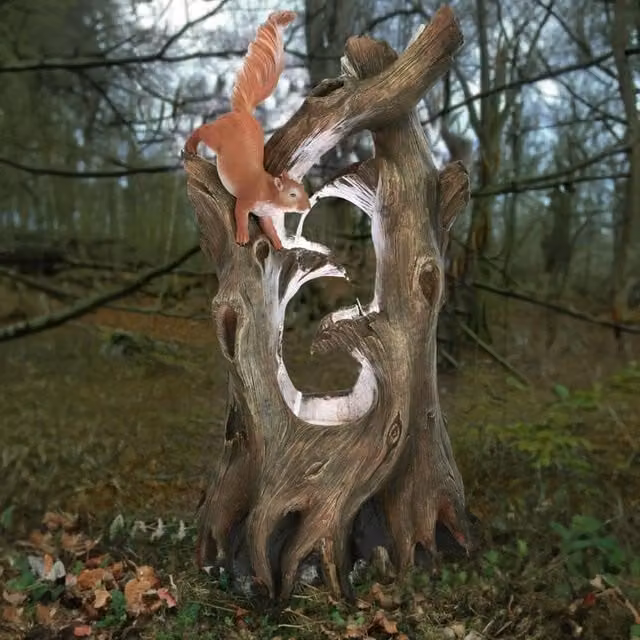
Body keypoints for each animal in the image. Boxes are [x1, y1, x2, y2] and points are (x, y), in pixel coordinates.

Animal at [184, 10, 310, 250]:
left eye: (304, 191)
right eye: (292, 194)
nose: (307, 206)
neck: (268, 190)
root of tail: (243, 113)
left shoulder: (265, 214)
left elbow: (269, 228)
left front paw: (279, 244)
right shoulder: (246, 200)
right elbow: (240, 214)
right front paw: (242, 236)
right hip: (217, 135)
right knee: (203, 130)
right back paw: (190, 146)